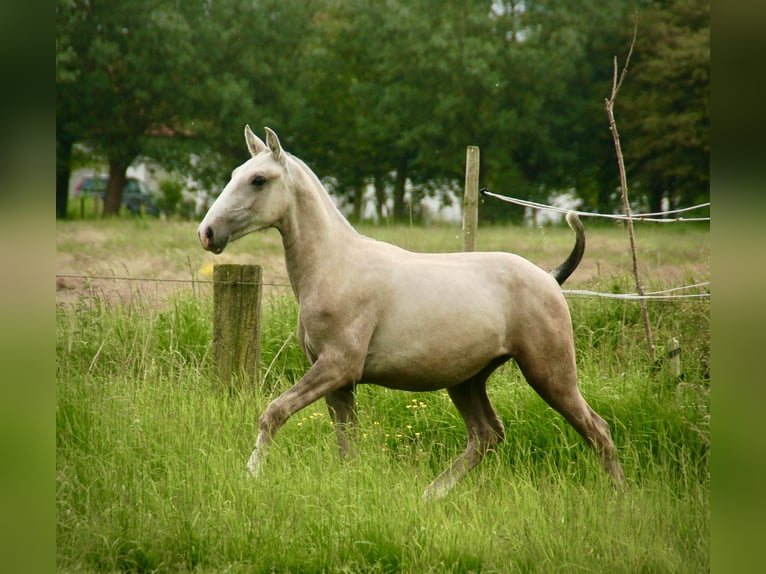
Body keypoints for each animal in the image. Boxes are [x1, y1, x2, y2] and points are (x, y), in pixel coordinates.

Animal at [196, 126, 624, 500]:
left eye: (258, 179)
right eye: (235, 174)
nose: (207, 233)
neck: (335, 266)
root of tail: (550, 278)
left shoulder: (337, 366)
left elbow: (274, 411)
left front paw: (250, 475)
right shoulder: (337, 383)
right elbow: (347, 445)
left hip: (550, 373)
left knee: (597, 429)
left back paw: (619, 498)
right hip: (467, 381)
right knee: (486, 436)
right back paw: (430, 495)